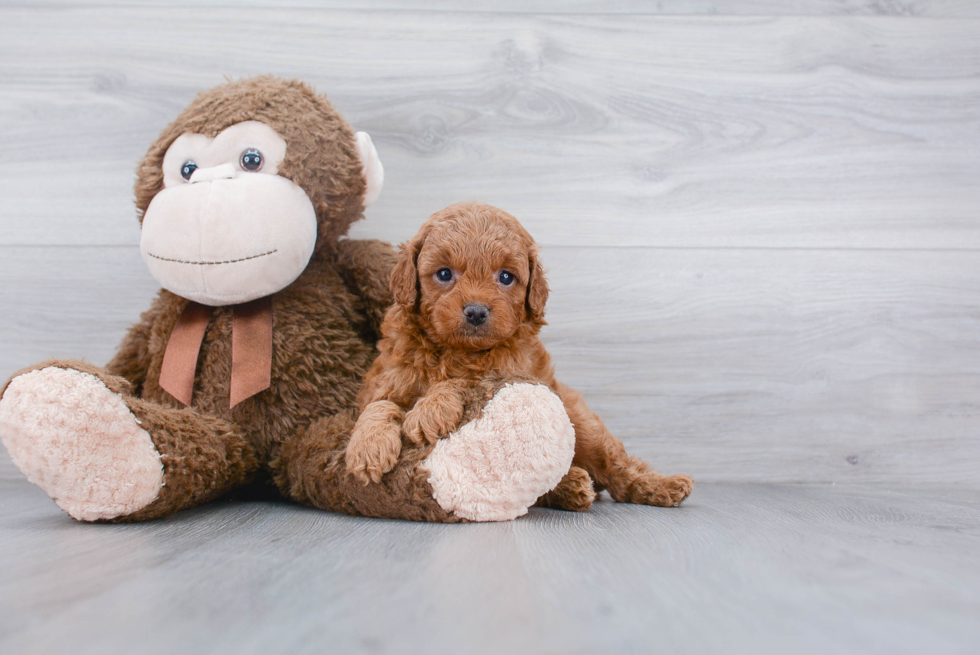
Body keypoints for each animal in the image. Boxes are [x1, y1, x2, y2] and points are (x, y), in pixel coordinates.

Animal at [344, 202, 688, 510]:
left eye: (506, 277)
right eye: (443, 274)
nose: (476, 311)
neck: (456, 350)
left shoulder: (510, 371)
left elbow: (466, 380)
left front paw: (431, 408)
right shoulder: (387, 378)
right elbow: (379, 405)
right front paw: (368, 447)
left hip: (582, 423)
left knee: (617, 468)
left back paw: (660, 485)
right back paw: (573, 487)